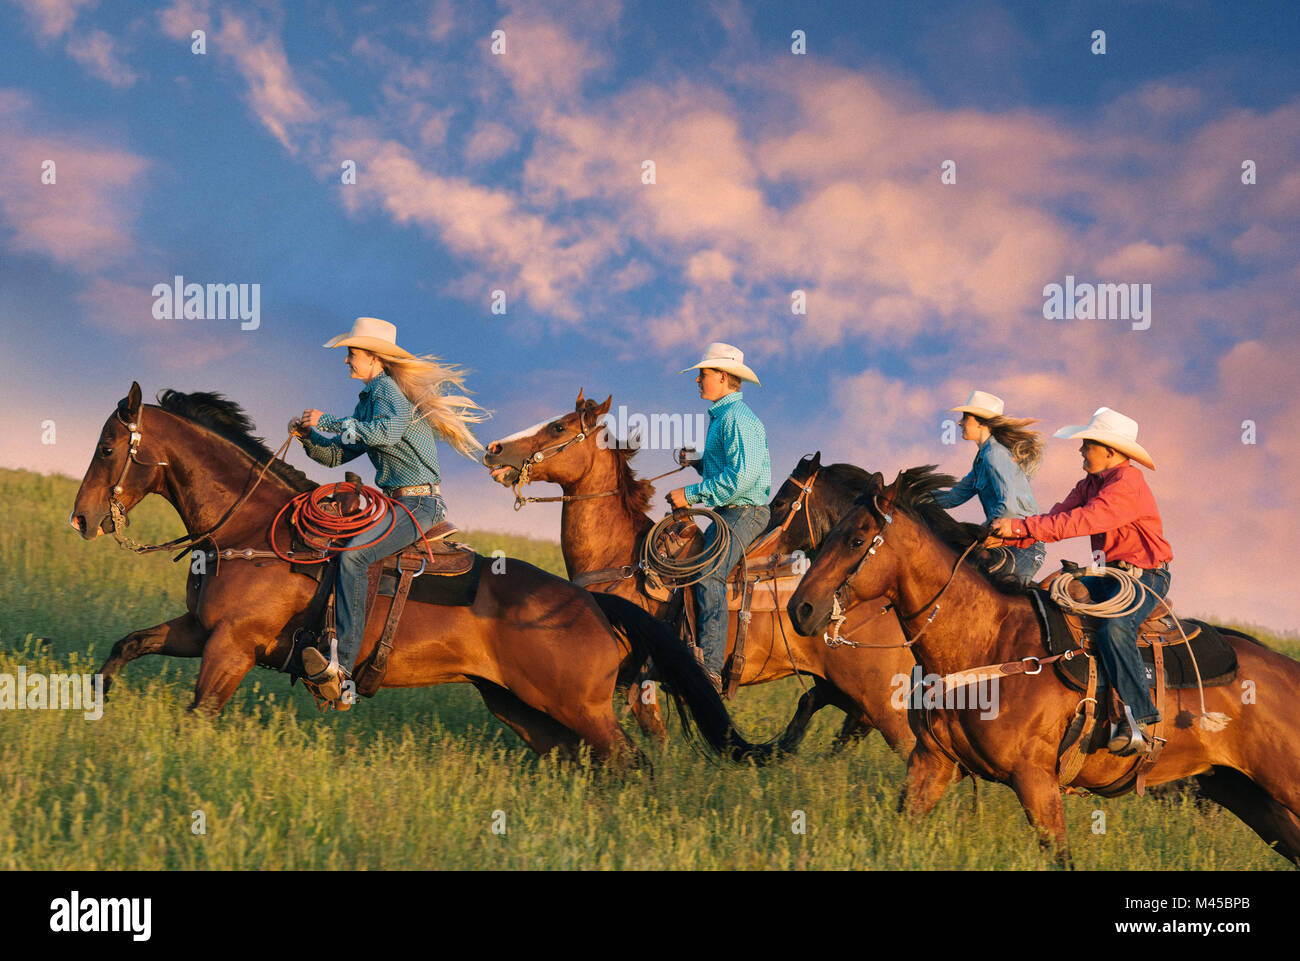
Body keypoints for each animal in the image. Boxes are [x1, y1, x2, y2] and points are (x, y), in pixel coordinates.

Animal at [68, 382, 769, 764]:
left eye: (107, 447)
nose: (80, 518)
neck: (253, 531)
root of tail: (594, 604)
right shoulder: (199, 630)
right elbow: (126, 646)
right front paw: (91, 707)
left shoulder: (231, 647)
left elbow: (200, 712)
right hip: (527, 709)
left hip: (582, 709)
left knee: (631, 763)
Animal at [483, 392, 920, 759]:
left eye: (559, 428)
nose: (493, 449)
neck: (620, 562)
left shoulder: (638, 677)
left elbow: (649, 732)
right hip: (846, 693)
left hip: (881, 700)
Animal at [785, 465, 1300, 863]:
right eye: (830, 533)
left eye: (856, 540)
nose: (800, 609)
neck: (990, 644)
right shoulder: (931, 764)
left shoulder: (1036, 782)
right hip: (1244, 794)